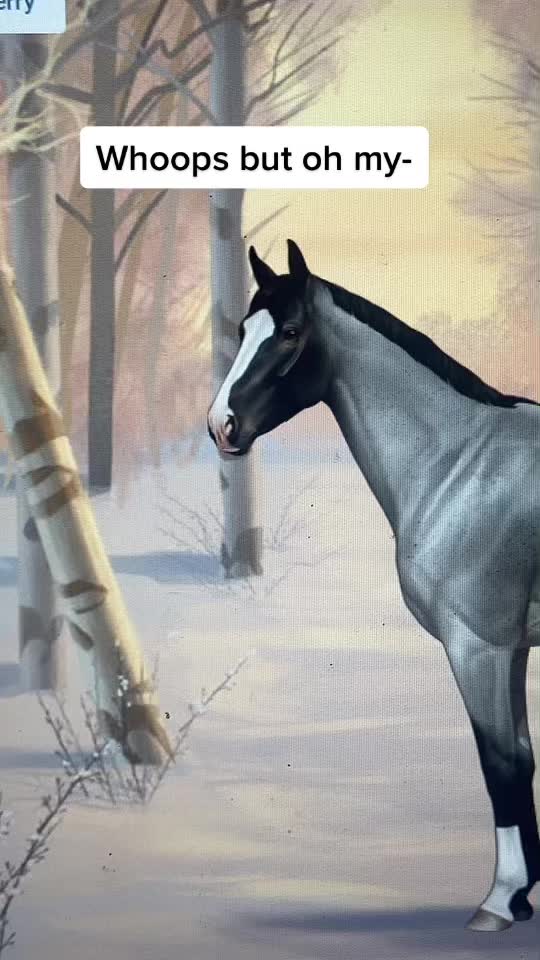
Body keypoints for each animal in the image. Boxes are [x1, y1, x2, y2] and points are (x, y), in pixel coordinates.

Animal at [207, 239, 540, 933]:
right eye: (244, 330)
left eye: (289, 332)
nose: (221, 425)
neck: (464, 463)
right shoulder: (511, 648)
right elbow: (522, 758)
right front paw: (523, 895)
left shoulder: (479, 646)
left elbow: (501, 763)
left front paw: (501, 900)